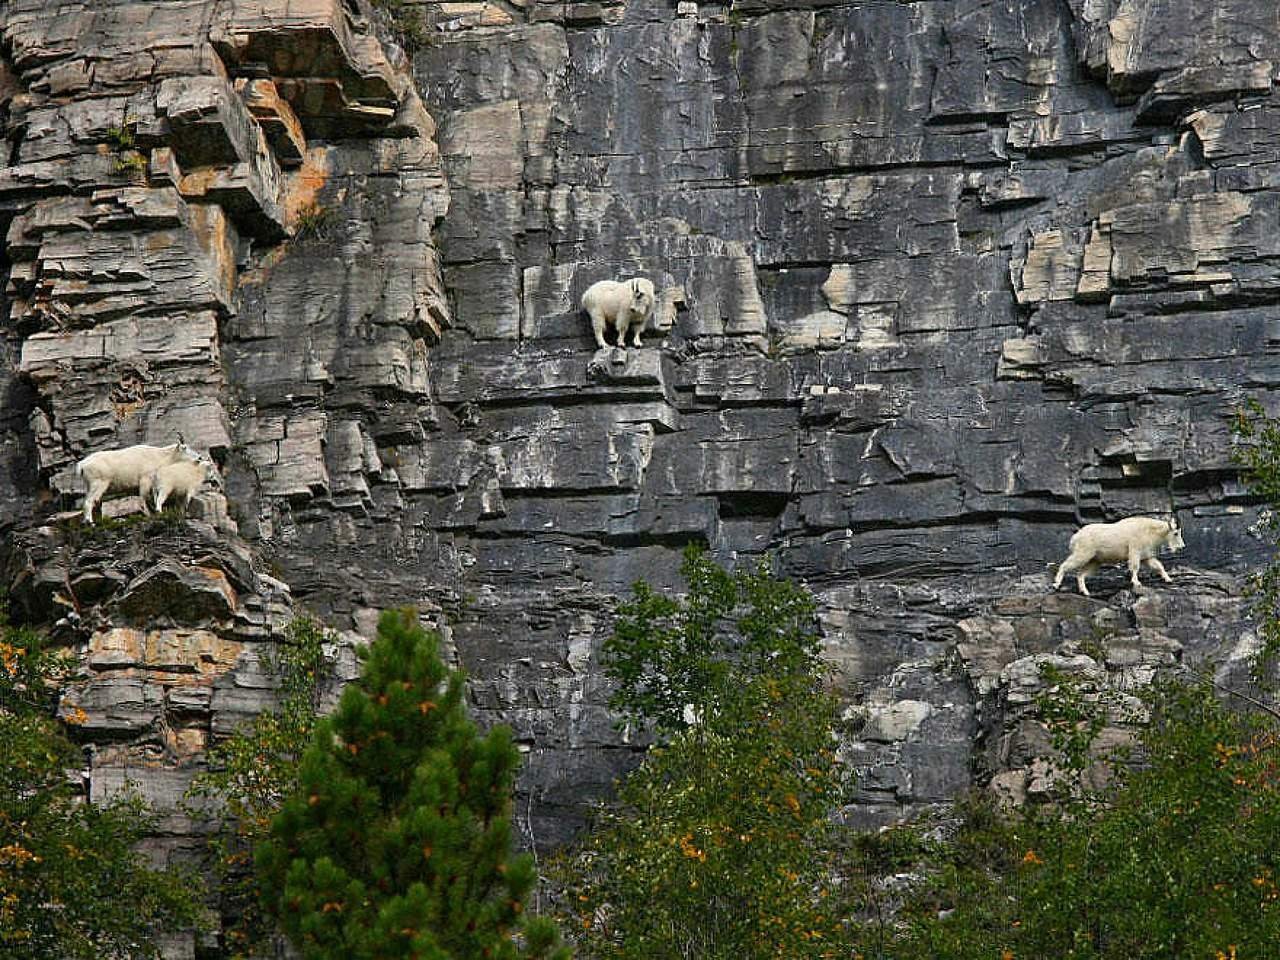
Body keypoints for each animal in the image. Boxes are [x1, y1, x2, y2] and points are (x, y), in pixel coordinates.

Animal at [1054, 514, 1182, 599]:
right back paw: (1056, 584)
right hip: (1083, 553)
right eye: (1176, 533)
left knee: (1081, 574)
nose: (1181, 547)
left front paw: (1169, 579)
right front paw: (1136, 582)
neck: (1150, 531)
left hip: (1094, 560)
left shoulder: (1146, 556)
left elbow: (1159, 566)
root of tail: (1074, 538)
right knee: (1065, 566)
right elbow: (1135, 567)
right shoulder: (1135, 551)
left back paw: (1085, 592)